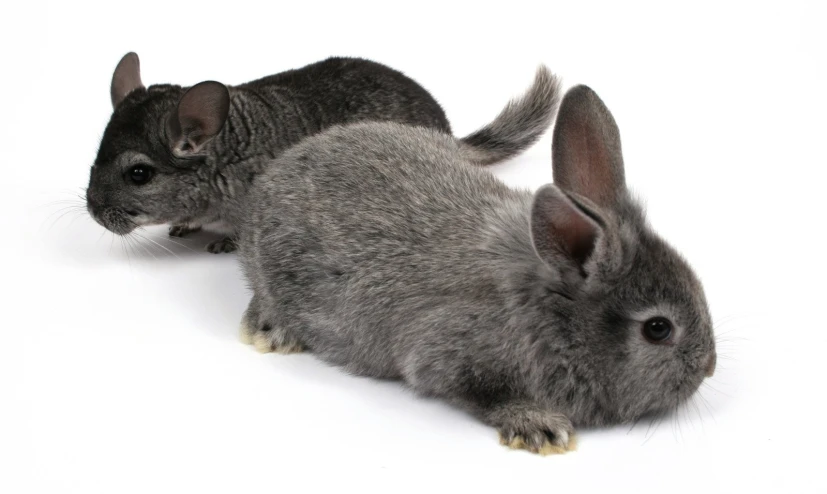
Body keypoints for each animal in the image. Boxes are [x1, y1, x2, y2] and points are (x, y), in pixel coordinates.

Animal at [234, 76, 720, 456]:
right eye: (658, 329)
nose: (709, 367)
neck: (550, 309)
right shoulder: (450, 355)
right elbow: (482, 394)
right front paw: (538, 426)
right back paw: (270, 329)